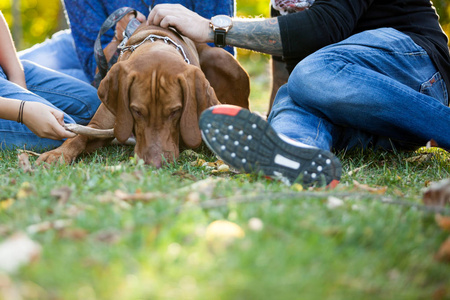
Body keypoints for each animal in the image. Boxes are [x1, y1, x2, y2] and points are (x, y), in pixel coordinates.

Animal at [36, 24, 250, 168]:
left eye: (175, 112)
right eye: (136, 111)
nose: (154, 164)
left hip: (223, 59)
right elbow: (79, 136)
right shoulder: (100, 127)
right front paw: (58, 153)